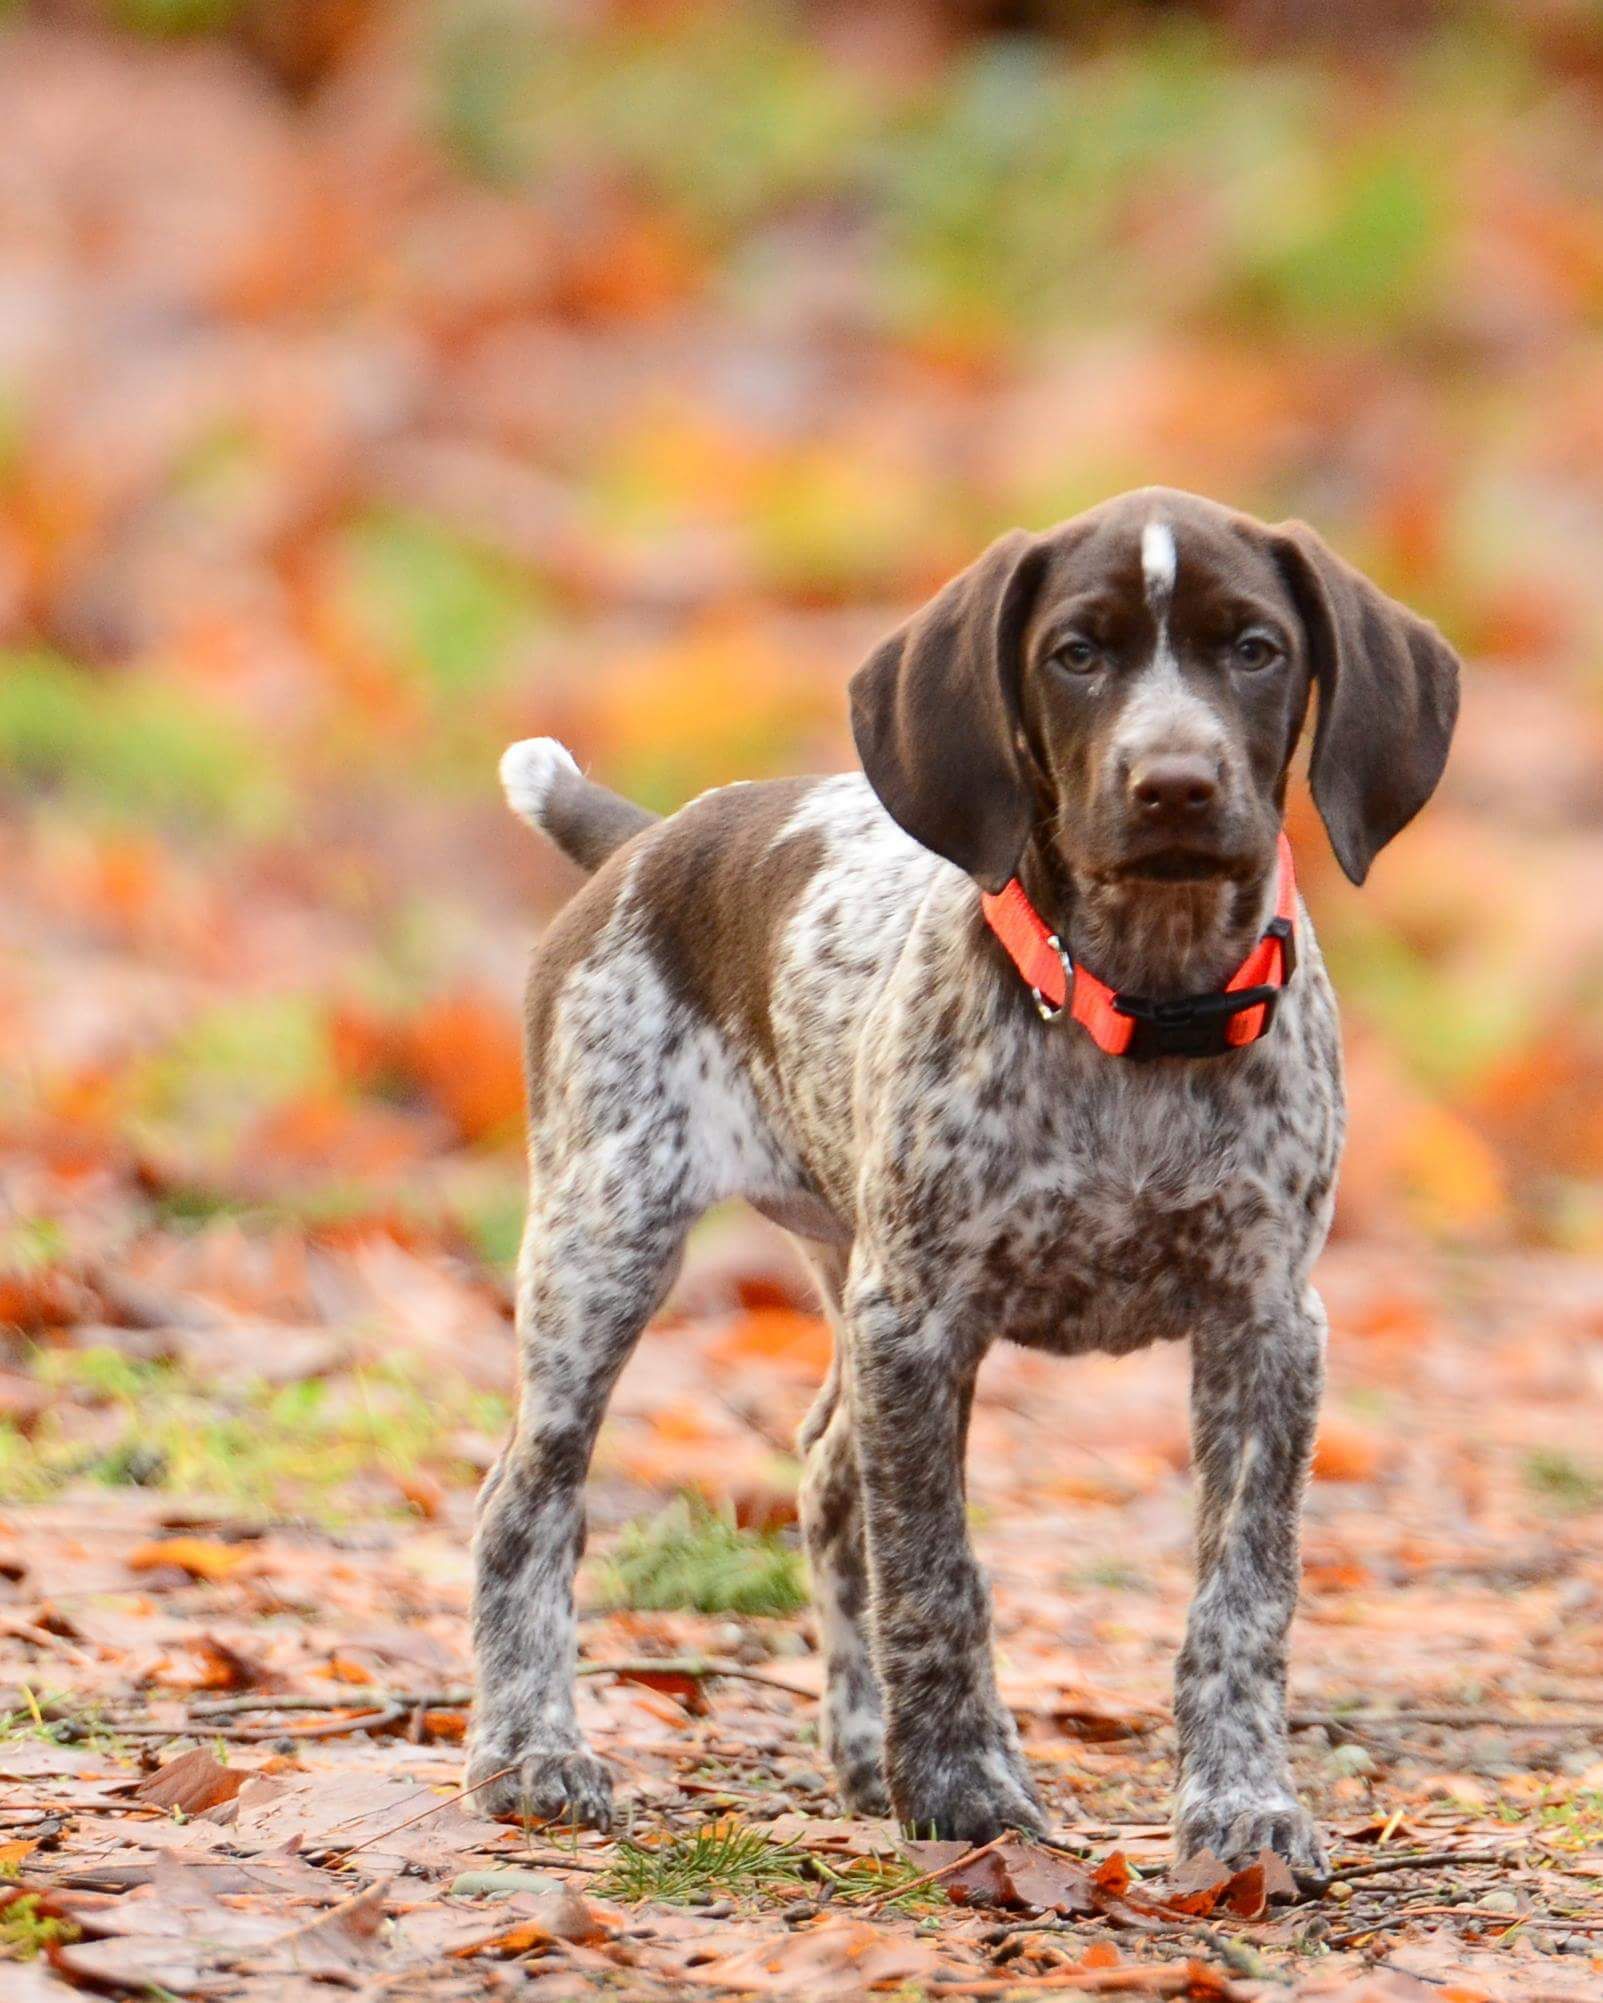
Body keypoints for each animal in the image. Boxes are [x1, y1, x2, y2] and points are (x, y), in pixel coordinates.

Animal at [468, 492, 1458, 1866]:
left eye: (1255, 649)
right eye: (1075, 654)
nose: (1174, 783)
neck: (1145, 1007)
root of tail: (647, 842)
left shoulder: (1266, 1323)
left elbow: (1243, 1591)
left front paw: (1243, 1805)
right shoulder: (922, 1316)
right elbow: (934, 1568)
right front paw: (961, 1789)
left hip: (836, 1257)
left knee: (830, 1474)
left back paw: (854, 1747)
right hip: (604, 1236)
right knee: (530, 1496)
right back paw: (533, 1753)